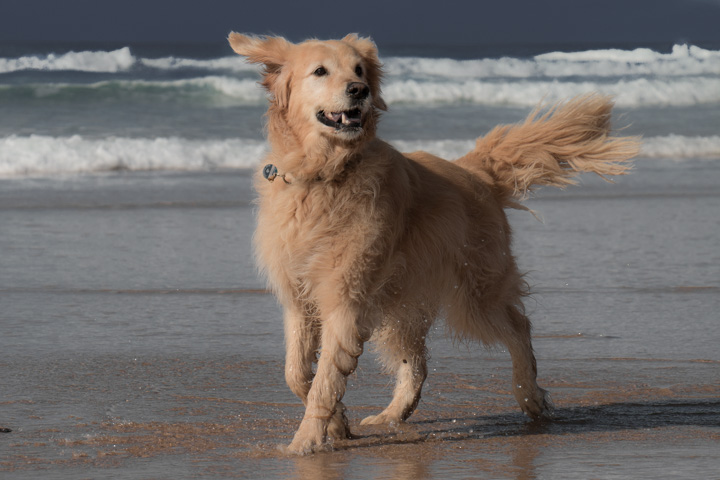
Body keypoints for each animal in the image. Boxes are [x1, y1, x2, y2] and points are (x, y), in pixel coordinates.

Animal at [228, 32, 640, 454]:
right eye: (320, 71)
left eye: (359, 69)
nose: (359, 90)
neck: (324, 175)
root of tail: (474, 171)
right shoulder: (299, 298)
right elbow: (297, 373)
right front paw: (338, 423)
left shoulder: (345, 299)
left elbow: (324, 380)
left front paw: (306, 442)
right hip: (402, 305)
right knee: (417, 363)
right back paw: (393, 415)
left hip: (474, 297)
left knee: (519, 327)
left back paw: (530, 396)